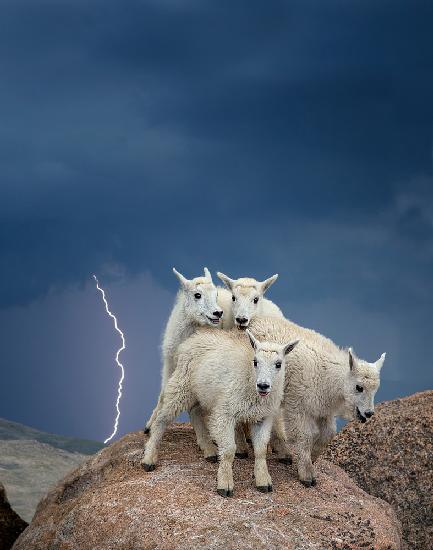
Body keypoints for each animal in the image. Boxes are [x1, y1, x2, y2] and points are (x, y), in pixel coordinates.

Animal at [141, 330, 296, 498]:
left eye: (278, 364)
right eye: (255, 362)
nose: (263, 385)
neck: (249, 378)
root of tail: (190, 340)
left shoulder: (263, 417)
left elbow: (260, 450)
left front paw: (263, 481)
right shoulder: (225, 413)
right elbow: (228, 450)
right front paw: (225, 484)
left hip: (200, 392)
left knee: (195, 412)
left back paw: (208, 449)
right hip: (181, 386)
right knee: (162, 419)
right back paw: (149, 458)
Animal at [246, 316, 384, 490]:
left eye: (376, 388)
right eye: (359, 387)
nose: (368, 413)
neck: (329, 378)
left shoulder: (323, 410)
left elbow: (329, 433)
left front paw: (313, 457)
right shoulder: (298, 406)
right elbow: (305, 436)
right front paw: (307, 475)